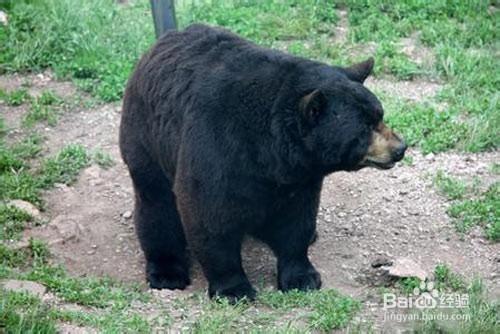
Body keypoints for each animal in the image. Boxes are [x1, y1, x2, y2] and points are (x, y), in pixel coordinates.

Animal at [120, 23, 406, 300]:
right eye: (364, 128)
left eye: (379, 115)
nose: (400, 148)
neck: (268, 148)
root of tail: (160, 42)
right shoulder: (216, 146)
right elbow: (210, 218)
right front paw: (234, 289)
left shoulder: (298, 176)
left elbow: (297, 220)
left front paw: (302, 277)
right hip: (147, 139)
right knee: (157, 206)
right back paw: (167, 272)